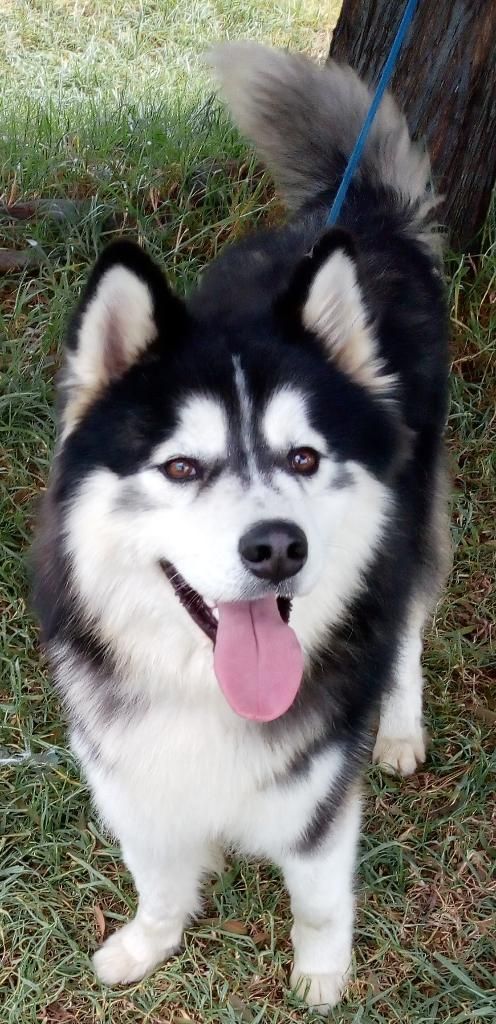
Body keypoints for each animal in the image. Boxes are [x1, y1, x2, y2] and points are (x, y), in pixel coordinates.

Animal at [31, 46, 448, 1007]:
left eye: (303, 457)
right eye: (182, 467)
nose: (277, 547)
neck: (202, 689)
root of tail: (360, 222)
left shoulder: (318, 798)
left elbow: (321, 899)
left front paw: (321, 980)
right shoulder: (133, 774)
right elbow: (156, 877)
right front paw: (147, 945)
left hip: (416, 511)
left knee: (407, 618)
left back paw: (401, 727)